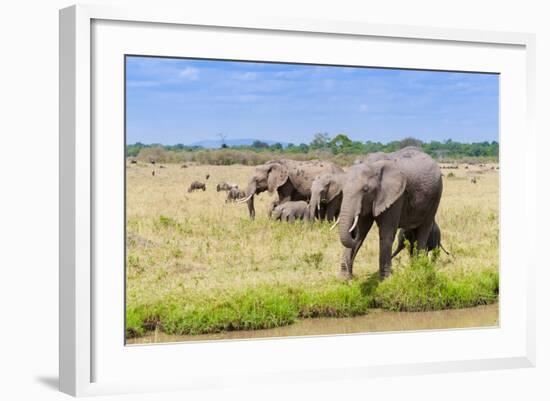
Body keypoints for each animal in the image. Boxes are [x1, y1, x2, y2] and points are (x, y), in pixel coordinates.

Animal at [340, 145, 444, 280]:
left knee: (424, 229)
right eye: (342, 189)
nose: (352, 231)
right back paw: (414, 269)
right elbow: (362, 232)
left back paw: (419, 270)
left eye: (365, 189)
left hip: (436, 196)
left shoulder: (396, 196)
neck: (372, 164)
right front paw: (344, 279)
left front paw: (385, 280)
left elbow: (386, 233)